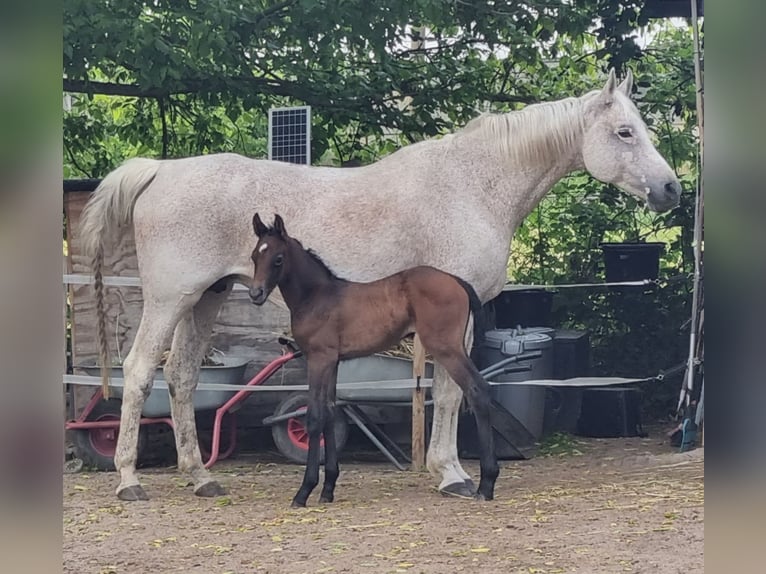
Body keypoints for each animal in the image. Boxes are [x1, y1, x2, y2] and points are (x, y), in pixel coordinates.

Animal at [248, 213, 498, 508]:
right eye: (254, 255)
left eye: (278, 259)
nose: (255, 294)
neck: (317, 296)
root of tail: (457, 281)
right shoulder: (333, 362)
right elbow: (330, 412)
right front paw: (328, 489)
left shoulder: (319, 359)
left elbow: (315, 416)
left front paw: (304, 491)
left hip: (447, 348)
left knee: (477, 390)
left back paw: (486, 484)